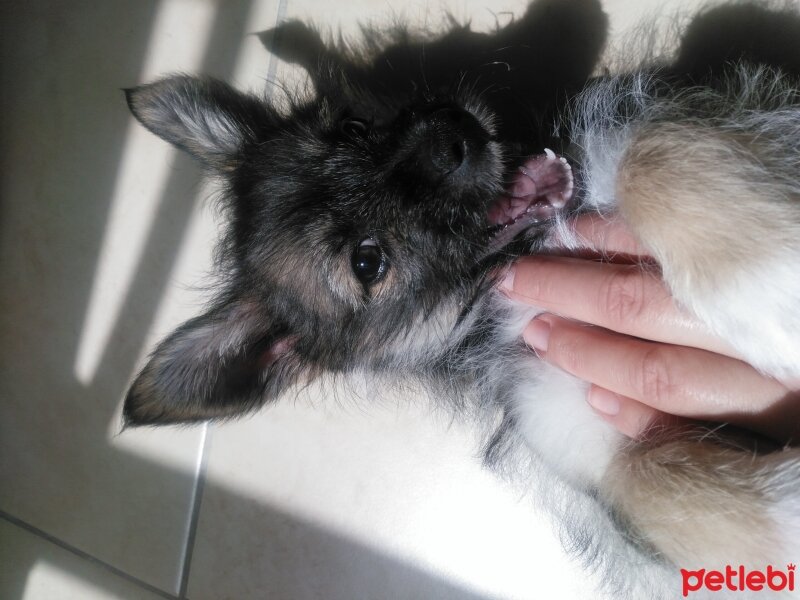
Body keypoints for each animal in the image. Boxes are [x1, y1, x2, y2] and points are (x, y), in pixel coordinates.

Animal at [122, 1, 800, 596]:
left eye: (355, 128)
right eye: (368, 261)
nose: (450, 131)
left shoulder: (638, 132)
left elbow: (656, 163)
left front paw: (770, 284)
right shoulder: (570, 415)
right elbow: (651, 478)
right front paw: (785, 518)